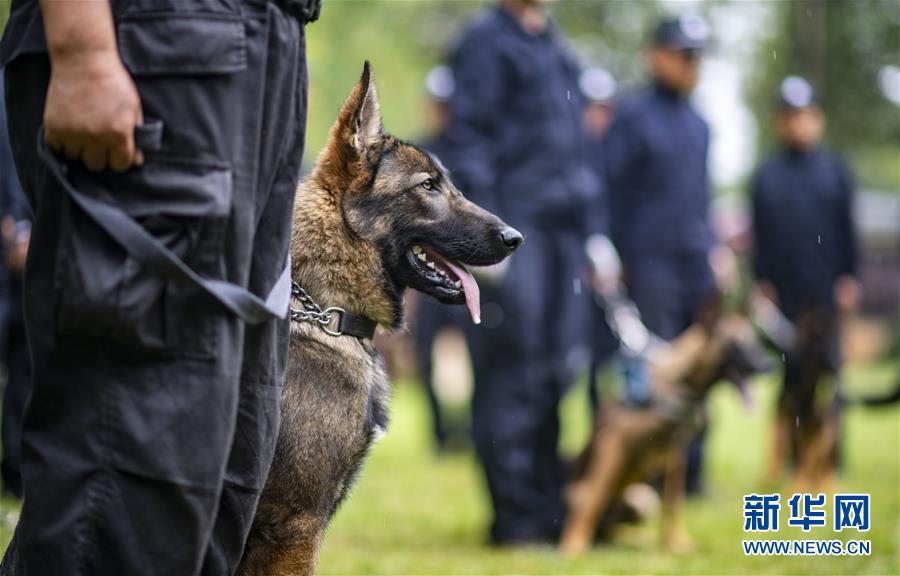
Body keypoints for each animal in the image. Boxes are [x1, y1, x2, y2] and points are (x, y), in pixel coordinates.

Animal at [560, 306, 768, 560]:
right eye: (736, 345)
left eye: (754, 341)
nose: (769, 364)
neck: (681, 383)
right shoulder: (612, 444)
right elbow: (591, 499)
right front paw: (573, 546)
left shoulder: (676, 452)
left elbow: (672, 502)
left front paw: (674, 544)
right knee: (593, 509)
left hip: (643, 500)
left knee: (612, 531)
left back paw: (638, 538)